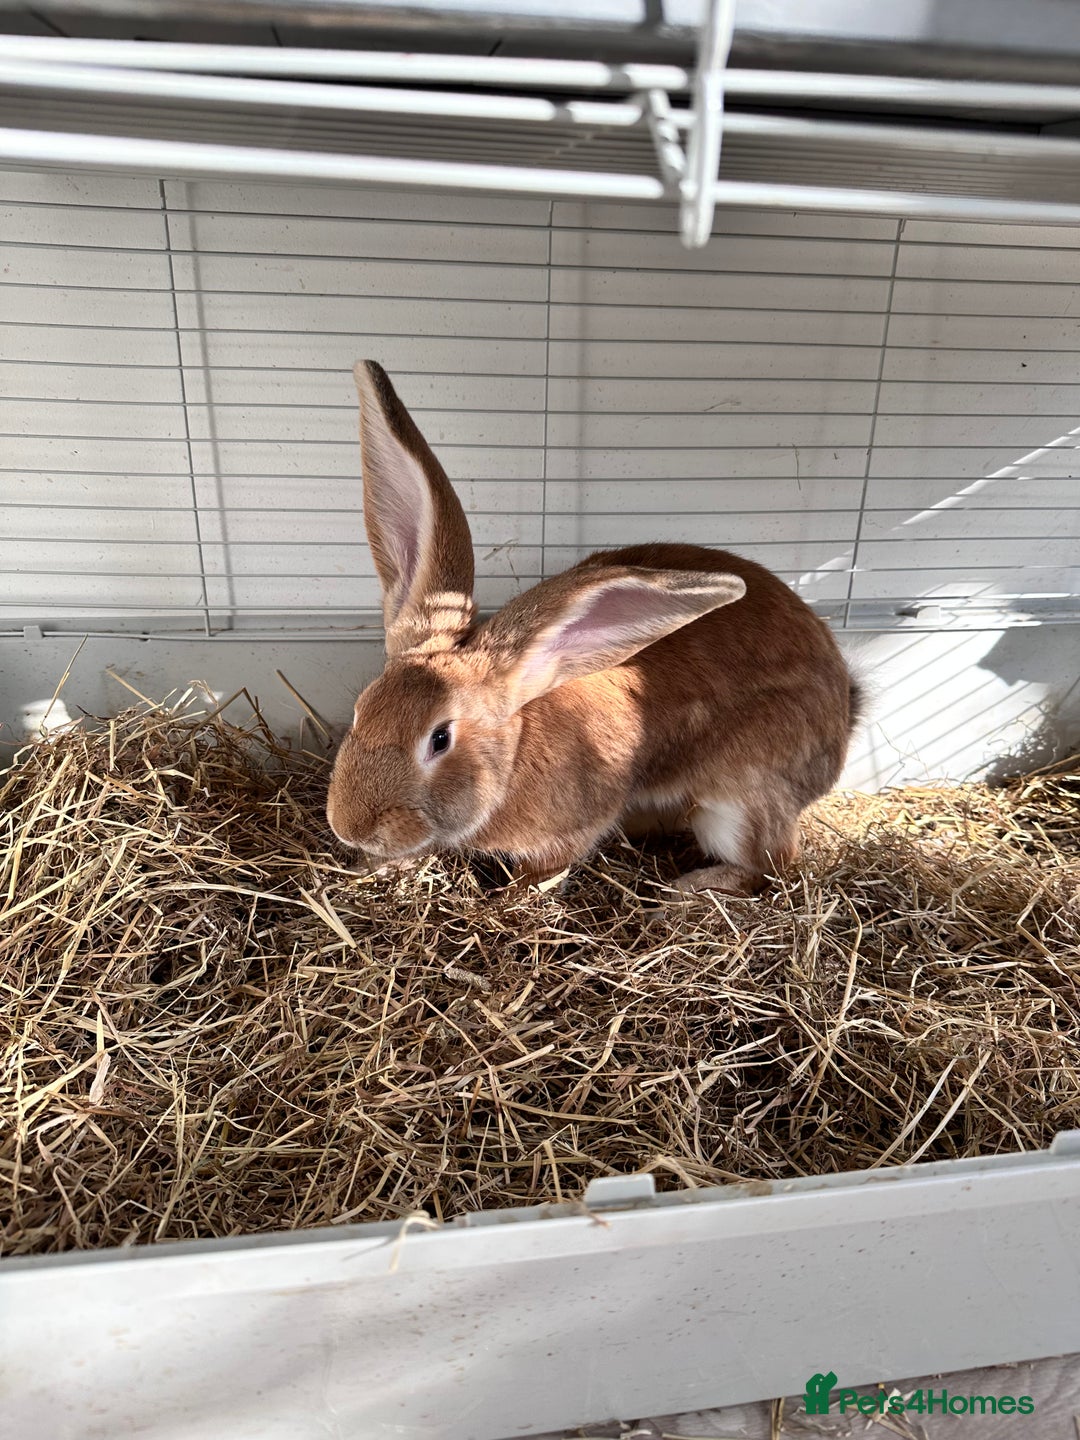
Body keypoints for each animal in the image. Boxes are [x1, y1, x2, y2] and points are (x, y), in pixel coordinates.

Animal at [326, 361, 862, 897]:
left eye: (439, 739)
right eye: (361, 709)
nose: (350, 826)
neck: (511, 756)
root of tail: (844, 713)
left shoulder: (573, 830)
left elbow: (542, 872)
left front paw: (511, 897)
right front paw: (371, 868)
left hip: (739, 798)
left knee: (770, 863)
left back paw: (683, 893)